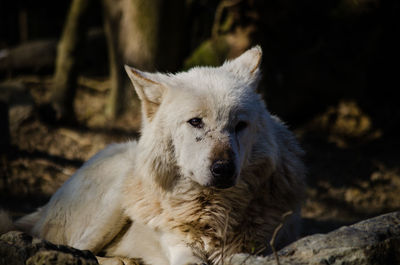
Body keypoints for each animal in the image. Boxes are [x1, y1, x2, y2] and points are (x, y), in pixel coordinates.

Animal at [10, 46, 306, 264]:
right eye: (196, 122)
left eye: (239, 125)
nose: (223, 168)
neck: (214, 212)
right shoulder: (179, 245)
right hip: (117, 192)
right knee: (75, 249)